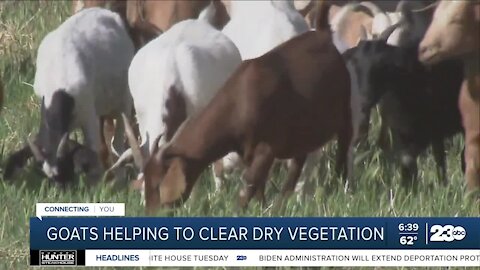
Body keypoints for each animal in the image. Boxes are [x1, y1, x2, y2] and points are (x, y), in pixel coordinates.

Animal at [4, 8, 134, 186]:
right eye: (48, 177)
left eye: (65, 168)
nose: (62, 190)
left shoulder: (88, 116)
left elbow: (94, 148)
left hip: (123, 100)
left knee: (118, 141)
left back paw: (120, 178)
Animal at [139, 1, 352, 212]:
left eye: (157, 184)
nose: (151, 213)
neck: (239, 101)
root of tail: (323, 34)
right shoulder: (250, 151)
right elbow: (259, 185)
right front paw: (263, 208)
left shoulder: (267, 148)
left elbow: (249, 182)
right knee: (298, 164)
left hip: (343, 112)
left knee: (341, 147)